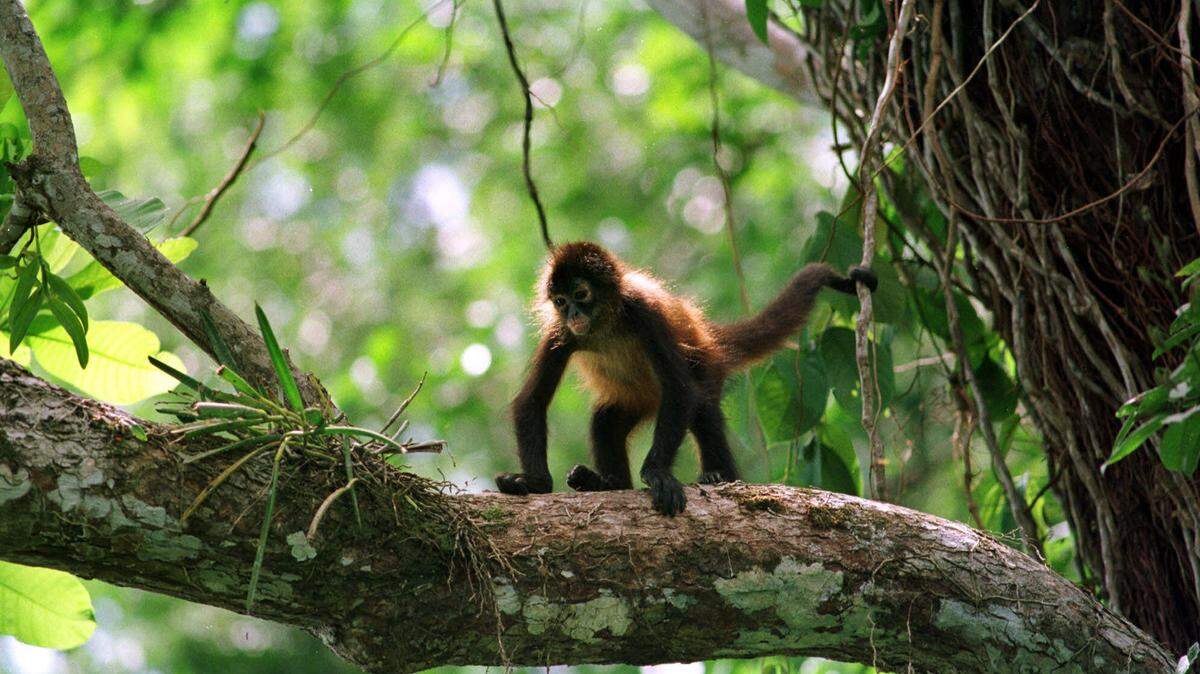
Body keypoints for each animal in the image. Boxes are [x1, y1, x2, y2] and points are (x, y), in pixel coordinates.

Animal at [494, 241, 877, 515]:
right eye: (559, 301)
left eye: (581, 294)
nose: (573, 313)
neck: (606, 326)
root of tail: (710, 340)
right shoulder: (560, 333)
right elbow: (532, 401)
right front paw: (534, 482)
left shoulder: (643, 311)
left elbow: (680, 390)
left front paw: (657, 474)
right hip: (635, 399)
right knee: (605, 420)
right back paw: (609, 483)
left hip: (704, 367)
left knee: (701, 404)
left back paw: (721, 476)